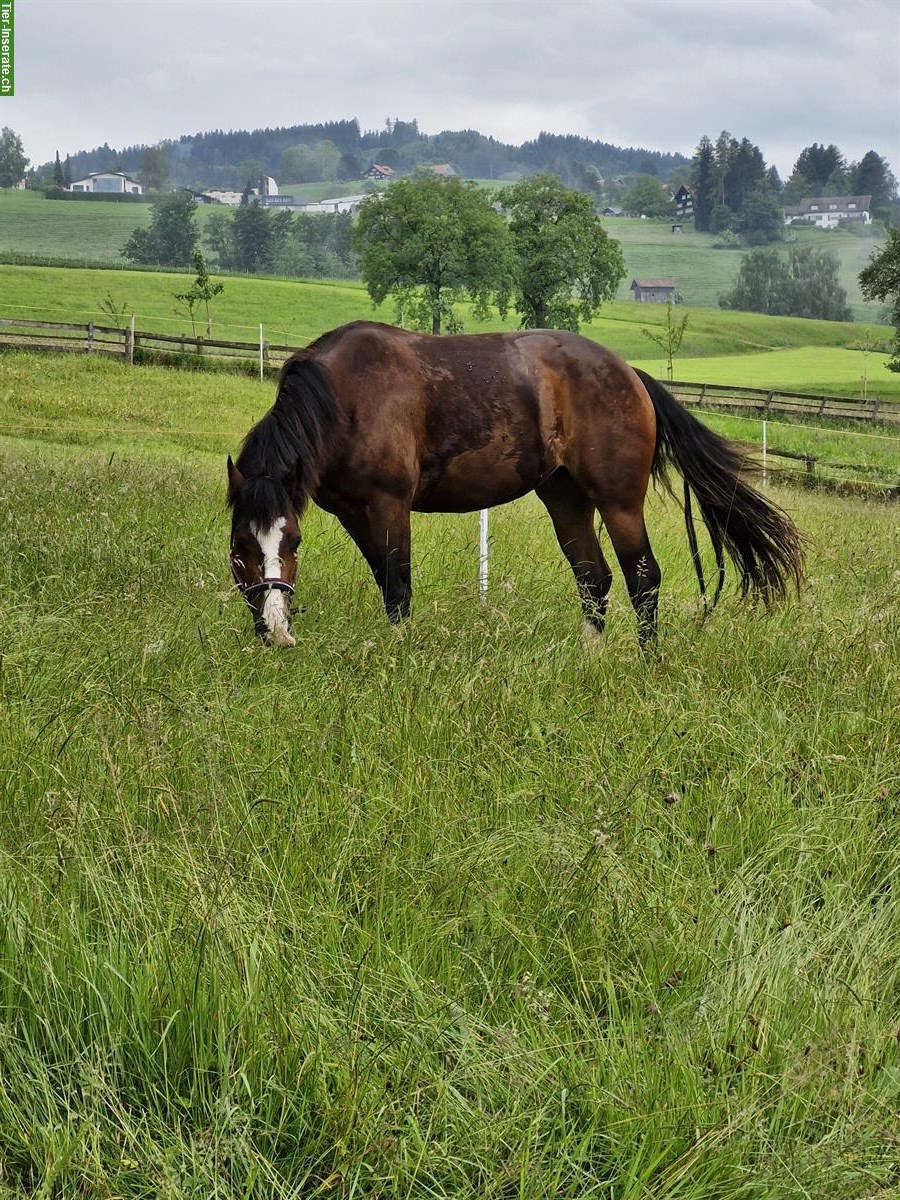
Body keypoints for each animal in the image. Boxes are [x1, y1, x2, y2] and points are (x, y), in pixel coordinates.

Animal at [229, 321, 806, 648]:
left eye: (291, 541)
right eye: (241, 547)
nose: (276, 631)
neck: (343, 396)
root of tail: (631, 375)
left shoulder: (390, 508)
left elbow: (398, 591)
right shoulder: (355, 513)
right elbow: (385, 583)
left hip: (619, 503)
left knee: (643, 579)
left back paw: (647, 663)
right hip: (565, 498)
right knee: (594, 580)